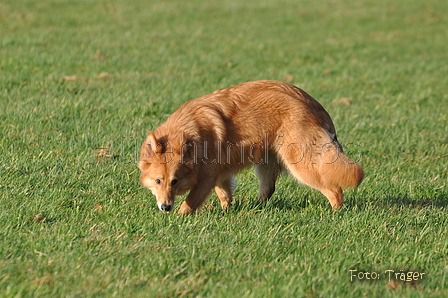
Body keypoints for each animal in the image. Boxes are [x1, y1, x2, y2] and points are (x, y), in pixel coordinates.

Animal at [139, 79, 364, 214]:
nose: (165, 207)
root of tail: (315, 105)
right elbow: (225, 194)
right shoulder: (220, 174)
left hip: (301, 164)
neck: (191, 134)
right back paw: (257, 209)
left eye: (175, 181)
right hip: (267, 162)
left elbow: (189, 203)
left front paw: (178, 217)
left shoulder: (206, 178)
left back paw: (336, 213)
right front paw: (226, 211)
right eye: (158, 181)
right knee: (268, 189)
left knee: (334, 189)